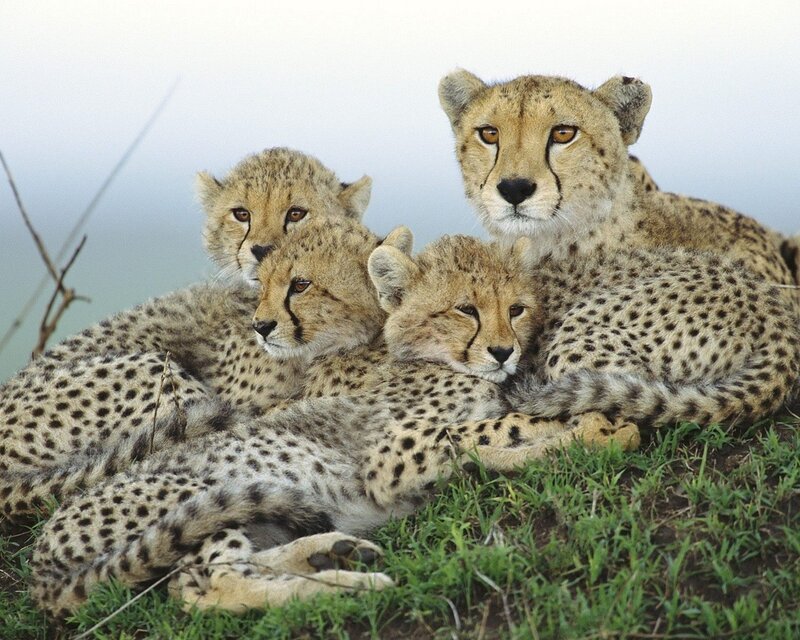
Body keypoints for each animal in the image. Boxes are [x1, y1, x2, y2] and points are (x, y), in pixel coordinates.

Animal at [29, 228, 641, 618]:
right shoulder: (391, 459)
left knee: (213, 576)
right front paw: (595, 429)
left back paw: (333, 553)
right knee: (214, 586)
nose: (503, 351)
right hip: (199, 494)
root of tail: (41, 551)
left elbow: (499, 428)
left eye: (516, 308)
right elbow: (493, 430)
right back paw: (351, 587)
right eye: (465, 309)